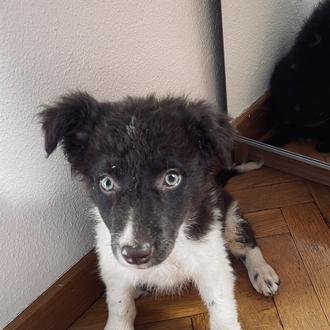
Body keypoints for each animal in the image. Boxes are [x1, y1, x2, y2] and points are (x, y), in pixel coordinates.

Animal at [40, 93, 280, 330]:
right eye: (107, 183)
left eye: (171, 178)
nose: (135, 255)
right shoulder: (111, 263)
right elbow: (120, 306)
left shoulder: (211, 258)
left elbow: (221, 309)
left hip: (229, 219)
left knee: (247, 242)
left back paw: (262, 272)